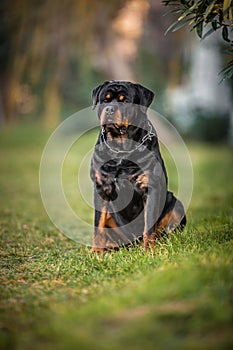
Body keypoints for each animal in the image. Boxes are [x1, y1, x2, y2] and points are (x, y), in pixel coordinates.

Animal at [89, 81, 186, 253]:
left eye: (126, 101)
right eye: (104, 100)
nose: (110, 109)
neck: (121, 148)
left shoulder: (150, 188)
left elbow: (149, 224)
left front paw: (149, 251)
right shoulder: (101, 188)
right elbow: (98, 224)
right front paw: (96, 252)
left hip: (176, 204)